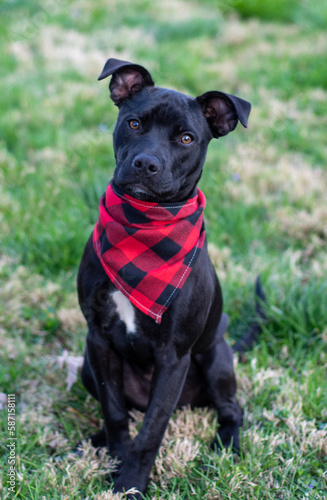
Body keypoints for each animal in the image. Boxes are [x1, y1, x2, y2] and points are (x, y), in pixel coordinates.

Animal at [78, 58, 252, 496]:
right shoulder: (98, 339)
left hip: (215, 358)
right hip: (86, 367)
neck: (145, 228)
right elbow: (115, 412)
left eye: (187, 138)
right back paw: (95, 441)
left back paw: (227, 445)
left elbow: (152, 430)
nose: (146, 164)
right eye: (134, 123)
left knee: (231, 409)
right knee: (124, 408)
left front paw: (131, 484)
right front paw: (115, 460)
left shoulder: (173, 357)